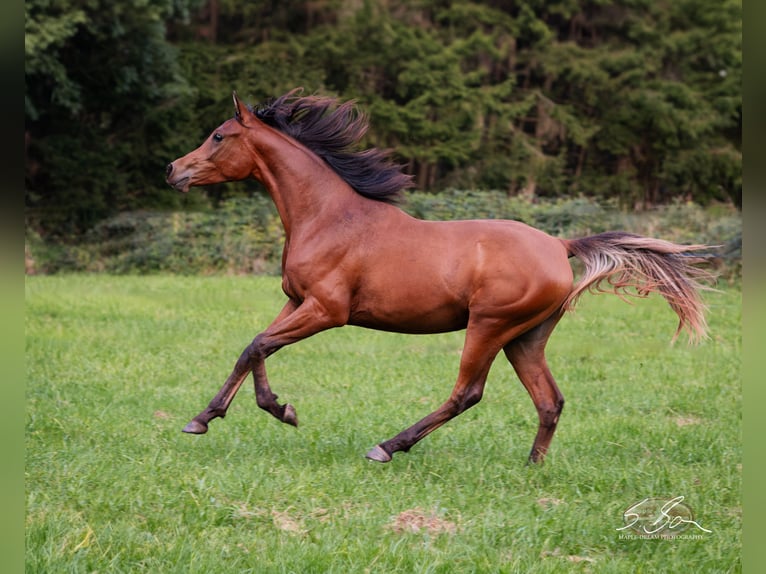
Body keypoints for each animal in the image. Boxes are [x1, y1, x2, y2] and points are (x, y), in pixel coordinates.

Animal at [166, 91, 712, 468]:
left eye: (218, 136)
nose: (173, 170)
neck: (329, 217)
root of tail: (560, 245)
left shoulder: (326, 310)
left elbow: (258, 344)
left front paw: (259, 412)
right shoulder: (296, 302)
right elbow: (254, 348)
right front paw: (231, 414)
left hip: (489, 326)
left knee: (467, 393)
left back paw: (388, 447)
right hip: (526, 337)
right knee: (549, 400)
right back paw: (533, 468)